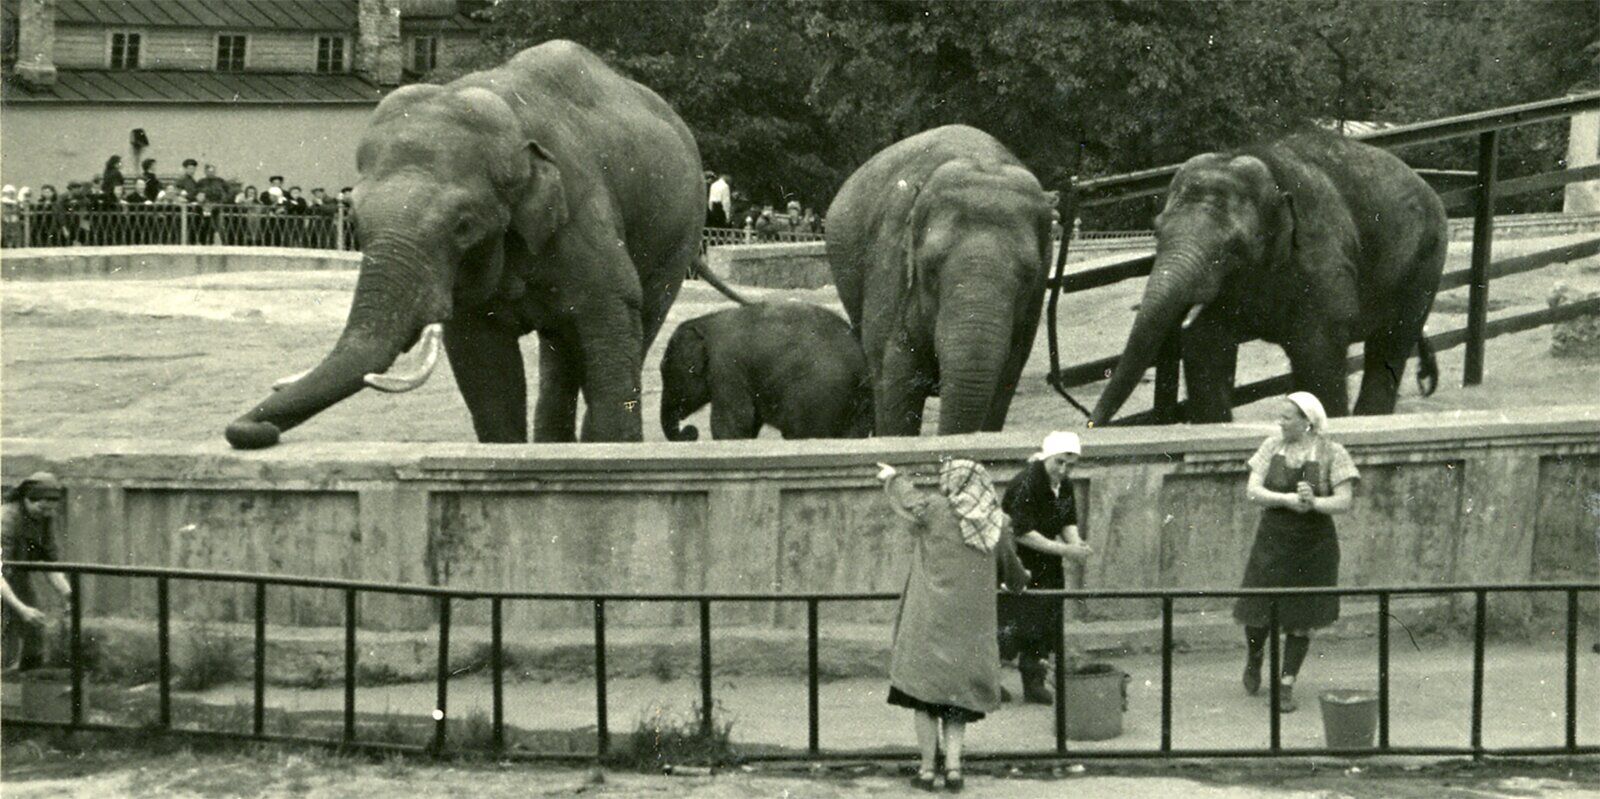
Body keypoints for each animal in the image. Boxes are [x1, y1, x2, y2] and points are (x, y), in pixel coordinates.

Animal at [224, 40, 742, 451]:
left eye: (463, 225)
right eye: (355, 219)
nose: (249, 432)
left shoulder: (580, 208)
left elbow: (610, 314)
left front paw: (611, 452)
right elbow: (483, 361)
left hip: (678, 234)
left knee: (635, 321)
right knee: (560, 348)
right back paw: (553, 446)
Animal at [656, 301, 870, 441]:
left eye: (666, 373)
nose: (690, 432)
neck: (705, 322)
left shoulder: (726, 367)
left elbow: (734, 421)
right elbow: (750, 422)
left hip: (817, 397)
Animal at [1094, 134, 1446, 429]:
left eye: (1233, 247)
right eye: (1156, 231)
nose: (1090, 424)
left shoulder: (1321, 261)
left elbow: (1318, 353)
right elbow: (1204, 343)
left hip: (1425, 264)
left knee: (1392, 340)